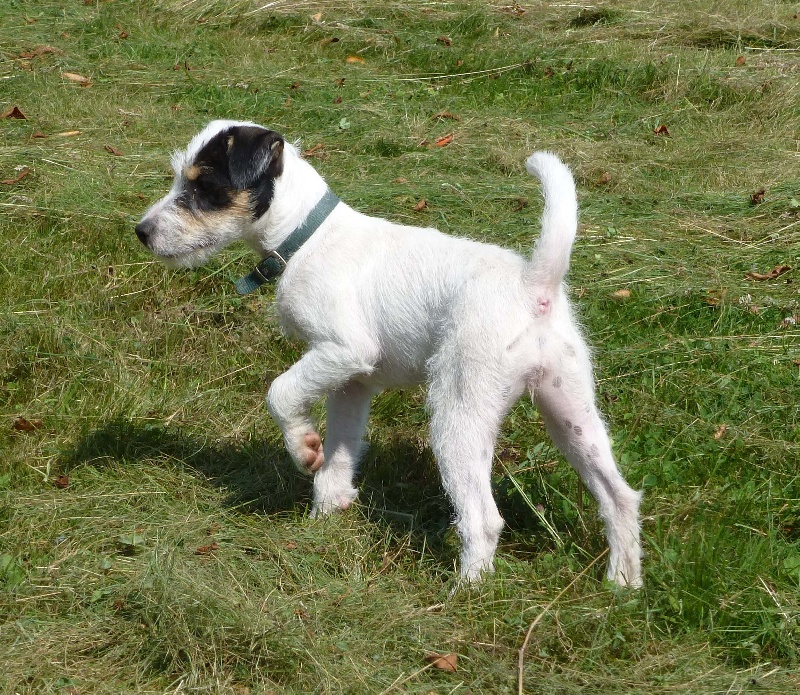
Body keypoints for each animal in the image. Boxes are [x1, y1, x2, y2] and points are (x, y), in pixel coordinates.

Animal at [134, 121, 640, 588]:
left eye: (203, 187)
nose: (141, 232)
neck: (306, 236)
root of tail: (533, 285)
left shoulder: (344, 350)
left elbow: (280, 393)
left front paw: (303, 448)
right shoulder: (351, 383)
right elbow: (340, 451)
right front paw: (325, 516)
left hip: (459, 414)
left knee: (482, 518)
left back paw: (466, 591)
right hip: (570, 409)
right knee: (619, 497)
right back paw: (623, 584)